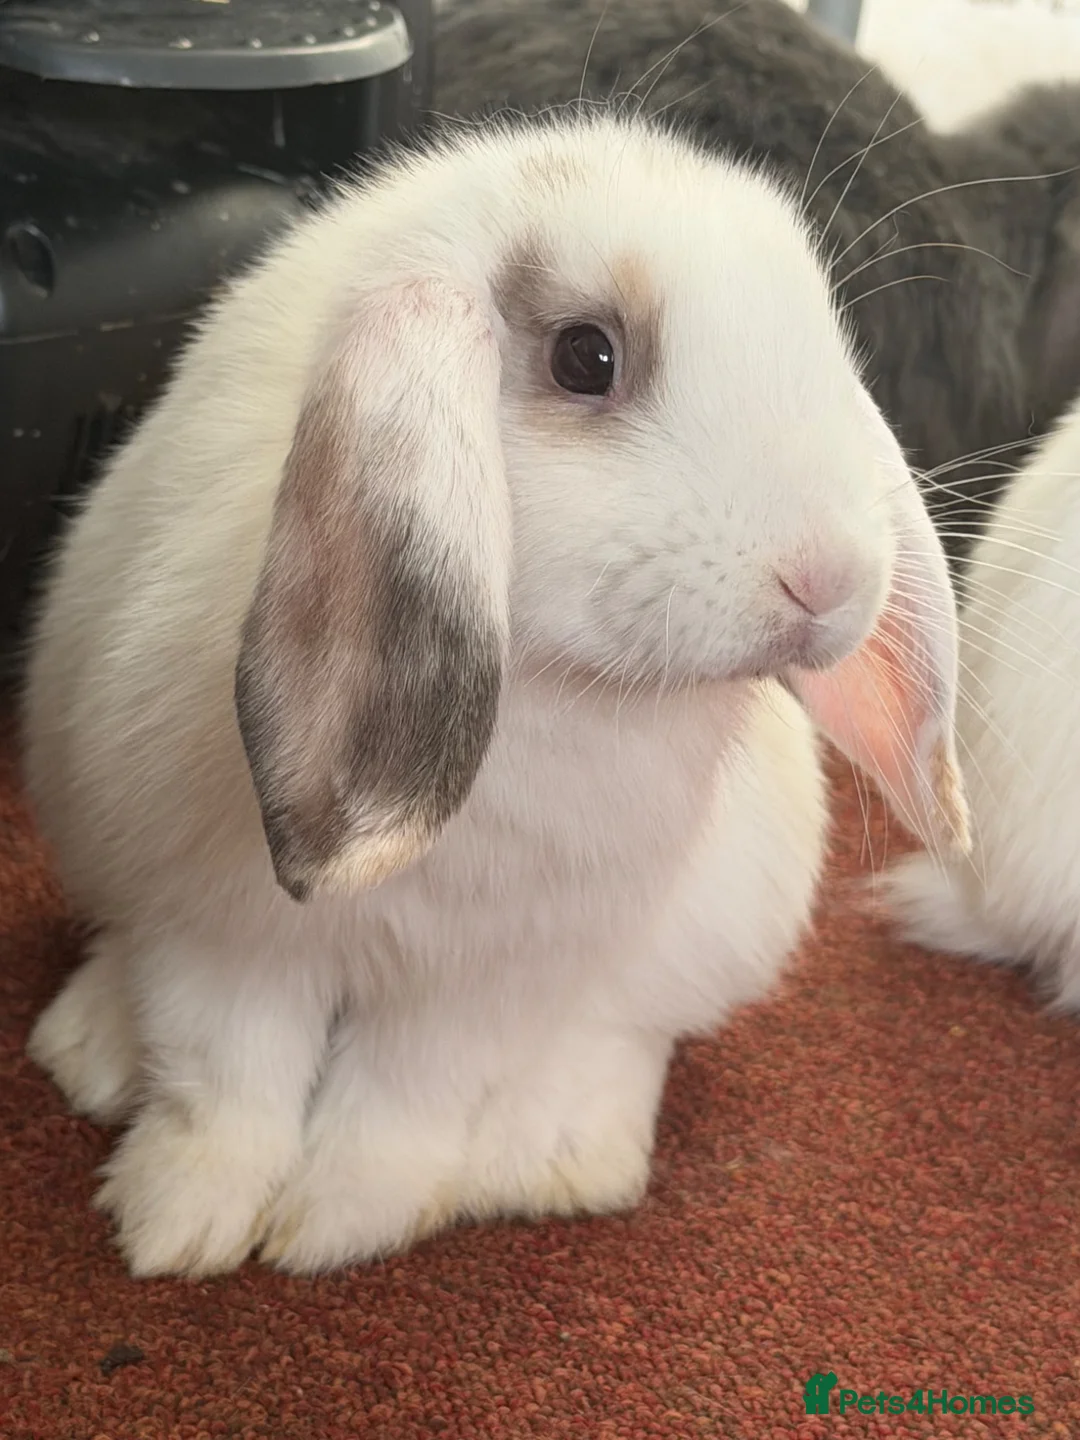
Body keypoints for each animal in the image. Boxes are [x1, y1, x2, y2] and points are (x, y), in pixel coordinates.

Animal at [22, 109, 967, 1278]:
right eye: (586, 357)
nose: (830, 577)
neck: (550, 701)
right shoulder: (218, 943)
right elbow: (225, 1084)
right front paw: (179, 1226)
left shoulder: (485, 986)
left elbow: (402, 1102)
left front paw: (339, 1224)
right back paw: (88, 1050)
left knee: (620, 1042)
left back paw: (556, 1160)